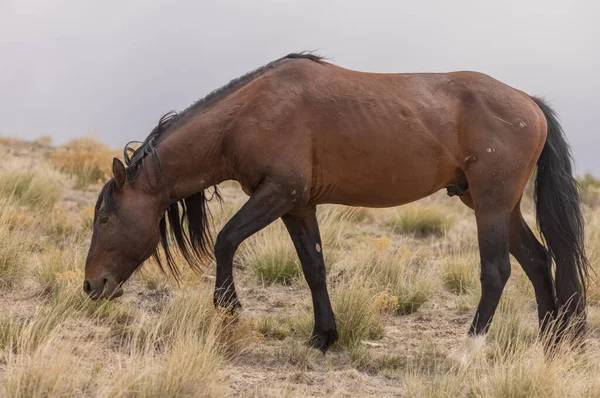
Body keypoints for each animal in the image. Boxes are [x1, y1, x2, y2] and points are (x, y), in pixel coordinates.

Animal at [84, 52, 584, 352]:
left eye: (105, 218)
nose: (91, 286)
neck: (250, 112)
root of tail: (530, 103)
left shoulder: (277, 193)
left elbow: (226, 241)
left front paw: (229, 309)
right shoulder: (297, 206)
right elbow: (314, 268)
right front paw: (324, 336)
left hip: (491, 205)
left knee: (497, 271)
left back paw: (469, 348)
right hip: (494, 204)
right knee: (539, 260)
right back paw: (550, 340)